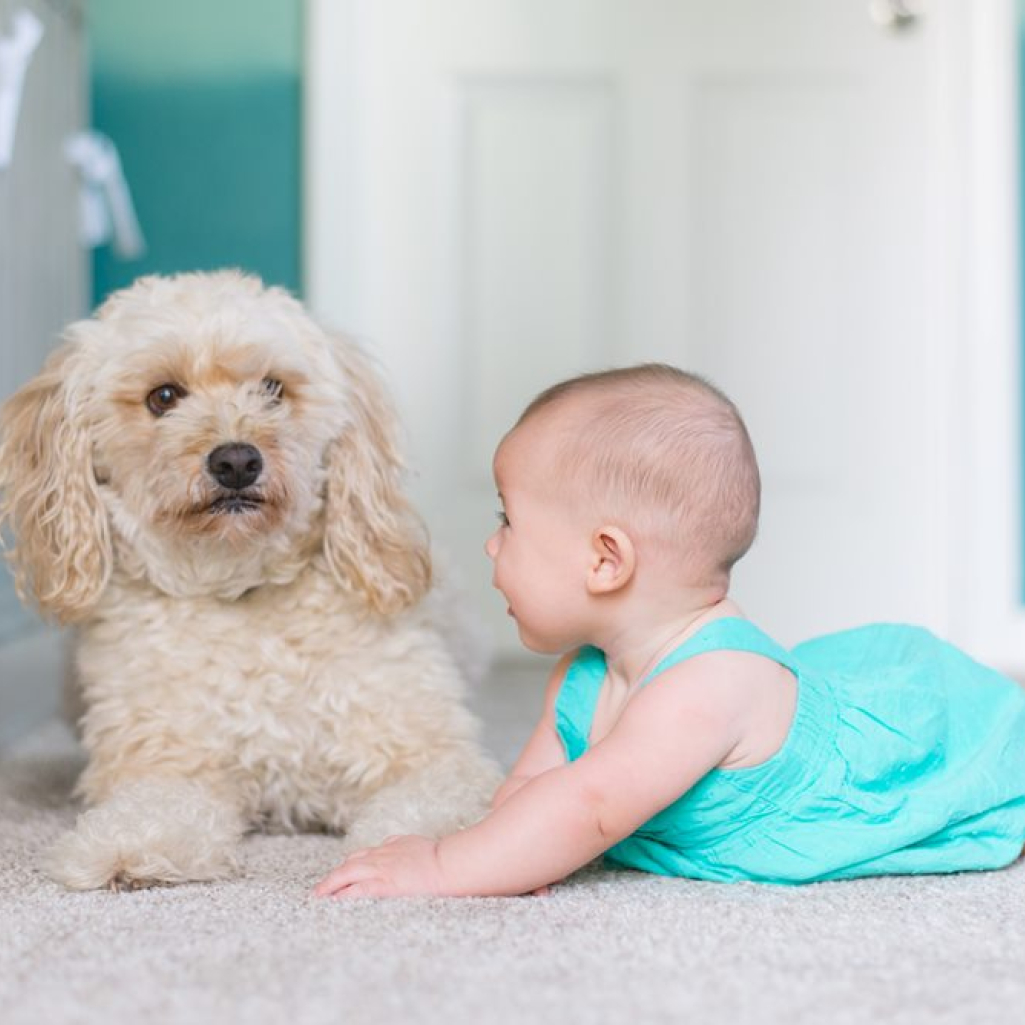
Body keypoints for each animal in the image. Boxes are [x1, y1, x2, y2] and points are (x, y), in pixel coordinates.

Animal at [0, 270, 500, 889]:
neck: (240, 589)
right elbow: (154, 808)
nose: (237, 461)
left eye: (273, 388)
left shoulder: (430, 755)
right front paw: (128, 846)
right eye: (163, 397)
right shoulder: (167, 763)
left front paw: (416, 853)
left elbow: (434, 805)